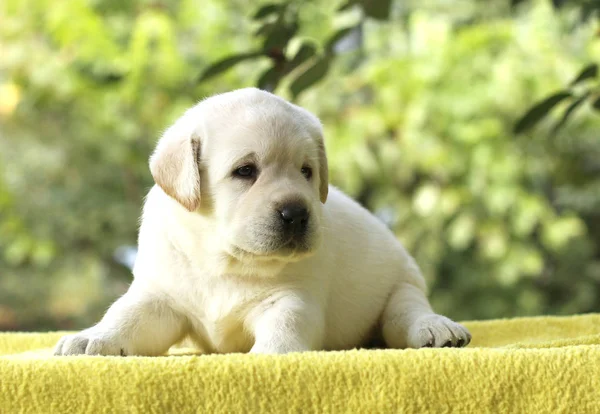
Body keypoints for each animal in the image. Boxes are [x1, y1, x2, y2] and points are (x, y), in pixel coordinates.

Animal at [54, 87, 472, 356]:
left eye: (306, 171)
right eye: (245, 171)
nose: (297, 212)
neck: (224, 260)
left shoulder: (292, 298)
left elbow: (285, 328)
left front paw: (269, 355)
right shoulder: (159, 296)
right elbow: (125, 316)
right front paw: (93, 338)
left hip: (403, 284)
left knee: (406, 313)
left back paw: (437, 328)